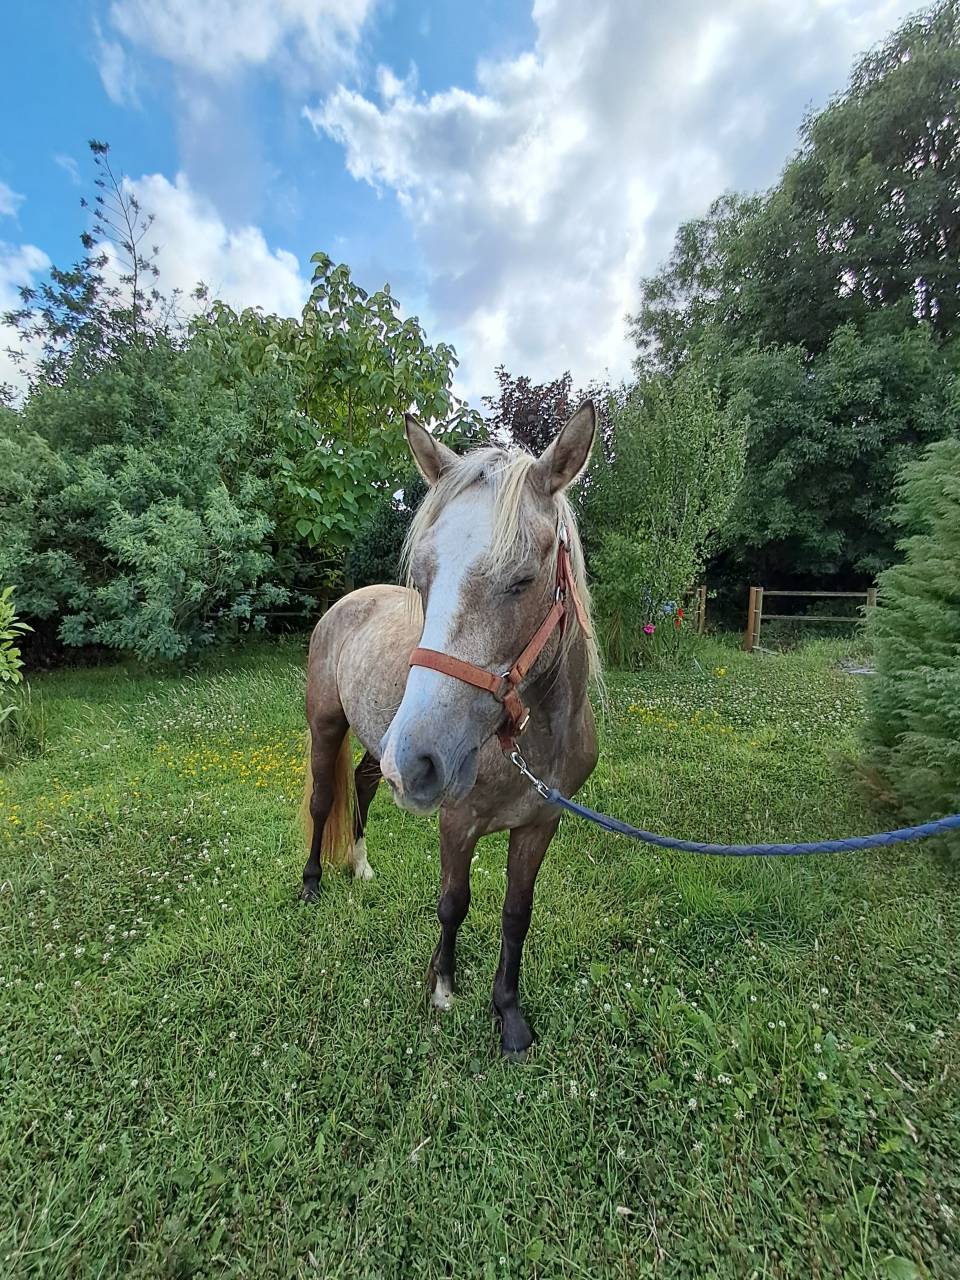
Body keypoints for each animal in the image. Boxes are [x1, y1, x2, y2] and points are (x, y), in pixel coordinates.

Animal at [301, 403, 601, 1055]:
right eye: (423, 576)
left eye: (523, 579)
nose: (419, 759)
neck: (531, 740)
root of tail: (346, 603)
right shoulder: (457, 822)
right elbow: (453, 904)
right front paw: (442, 987)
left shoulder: (541, 823)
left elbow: (517, 913)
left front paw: (508, 1014)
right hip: (329, 728)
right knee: (322, 800)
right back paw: (311, 884)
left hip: (378, 745)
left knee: (362, 786)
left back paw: (360, 865)